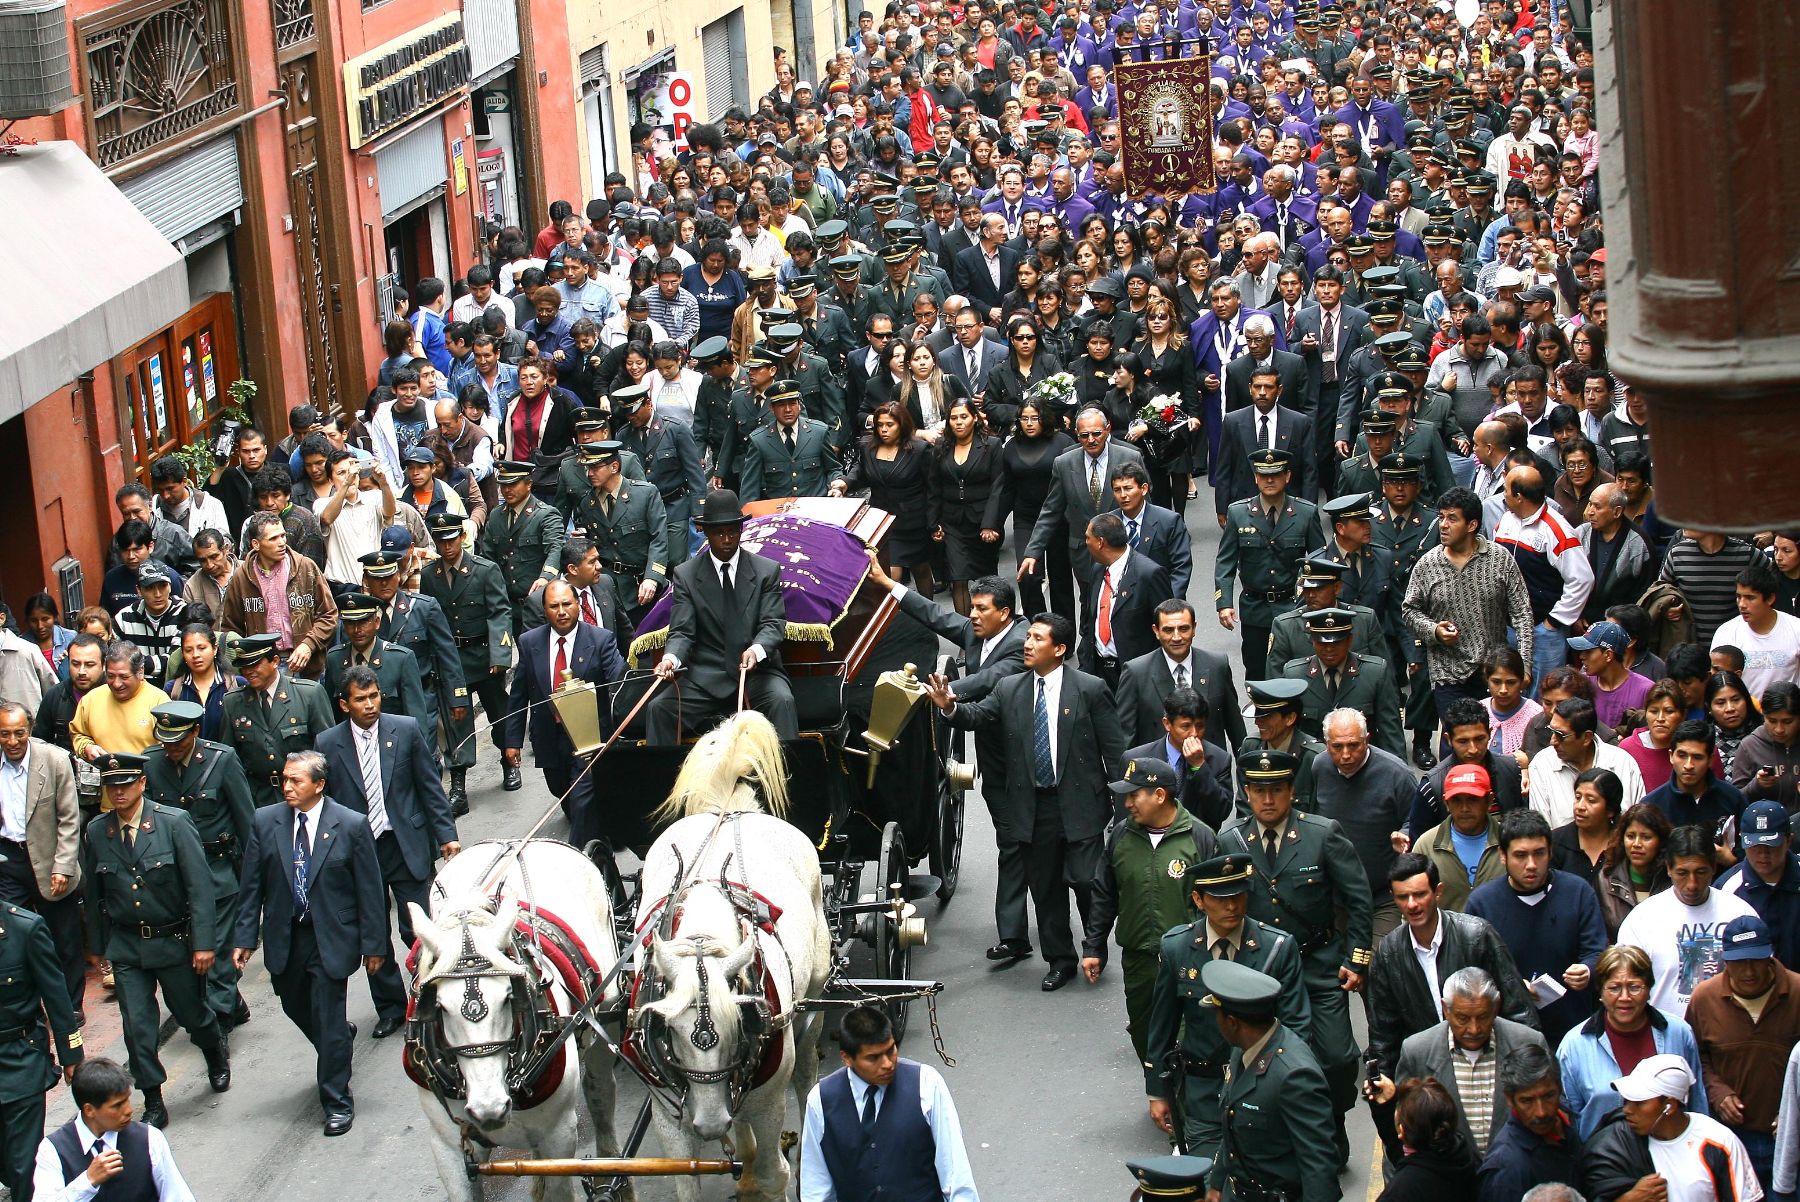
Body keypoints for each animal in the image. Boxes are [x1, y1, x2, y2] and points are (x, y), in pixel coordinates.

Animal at [408, 842, 633, 1202]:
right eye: (439, 1006)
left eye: (508, 997)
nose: (489, 1108)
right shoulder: (449, 1147)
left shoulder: (559, 1137)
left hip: (607, 1013)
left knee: (600, 1091)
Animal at [630, 712, 831, 1202]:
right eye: (670, 1034)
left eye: (739, 1026)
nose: (708, 1124)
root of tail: (731, 809)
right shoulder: (668, 1111)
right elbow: (684, 1180)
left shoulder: (767, 1098)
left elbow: (777, 1172)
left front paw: (773, 1173)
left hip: (813, 999)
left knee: (807, 1067)